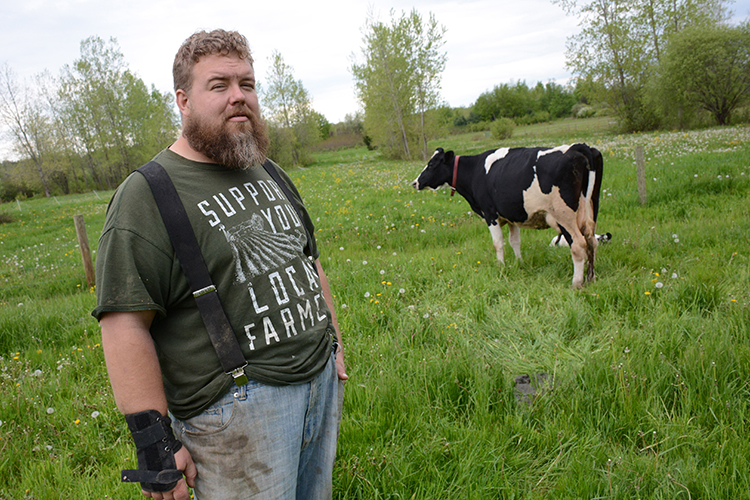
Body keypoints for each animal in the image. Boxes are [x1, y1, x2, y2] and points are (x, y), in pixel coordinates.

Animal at [414, 143, 608, 288]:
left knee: (578, 244)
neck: (474, 171)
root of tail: (578, 147)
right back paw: (591, 278)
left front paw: (500, 267)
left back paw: (577, 283)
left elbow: (498, 243)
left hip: (564, 215)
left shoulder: (490, 214)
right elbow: (515, 241)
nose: (415, 182)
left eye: (431, 164)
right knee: (591, 241)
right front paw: (519, 263)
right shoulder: (511, 216)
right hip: (591, 207)